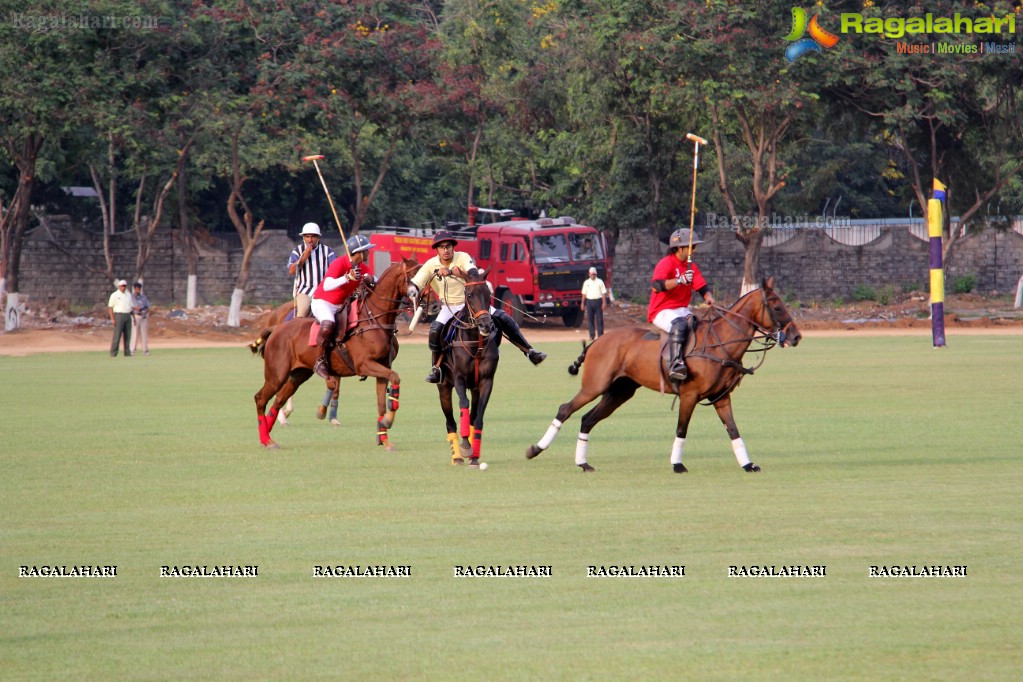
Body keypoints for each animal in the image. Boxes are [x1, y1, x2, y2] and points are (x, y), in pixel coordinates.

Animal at [251, 258, 419, 449]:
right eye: (411, 275)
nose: (418, 295)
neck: (374, 318)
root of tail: (276, 328)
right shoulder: (364, 365)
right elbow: (395, 378)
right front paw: (388, 423)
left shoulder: (383, 366)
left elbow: (382, 403)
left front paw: (385, 438)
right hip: (277, 374)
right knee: (260, 398)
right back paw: (266, 439)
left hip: (299, 374)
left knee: (278, 400)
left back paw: (269, 436)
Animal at [433, 265, 497, 464]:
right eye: (469, 294)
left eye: (488, 293)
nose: (485, 325)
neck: (475, 343)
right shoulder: (459, 378)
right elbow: (463, 404)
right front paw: (466, 446)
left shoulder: (485, 381)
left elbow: (478, 417)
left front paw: (474, 454)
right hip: (443, 387)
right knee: (450, 422)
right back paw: (457, 456)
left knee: (473, 416)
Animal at [527, 278, 797, 474]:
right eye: (776, 306)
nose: (795, 336)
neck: (720, 344)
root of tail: (596, 341)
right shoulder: (689, 395)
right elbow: (681, 429)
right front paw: (677, 464)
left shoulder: (721, 397)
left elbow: (733, 430)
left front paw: (748, 464)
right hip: (595, 385)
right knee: (565, 409)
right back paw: (535, 449)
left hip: (620, 391)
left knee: (587, 419)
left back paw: (583, 463)